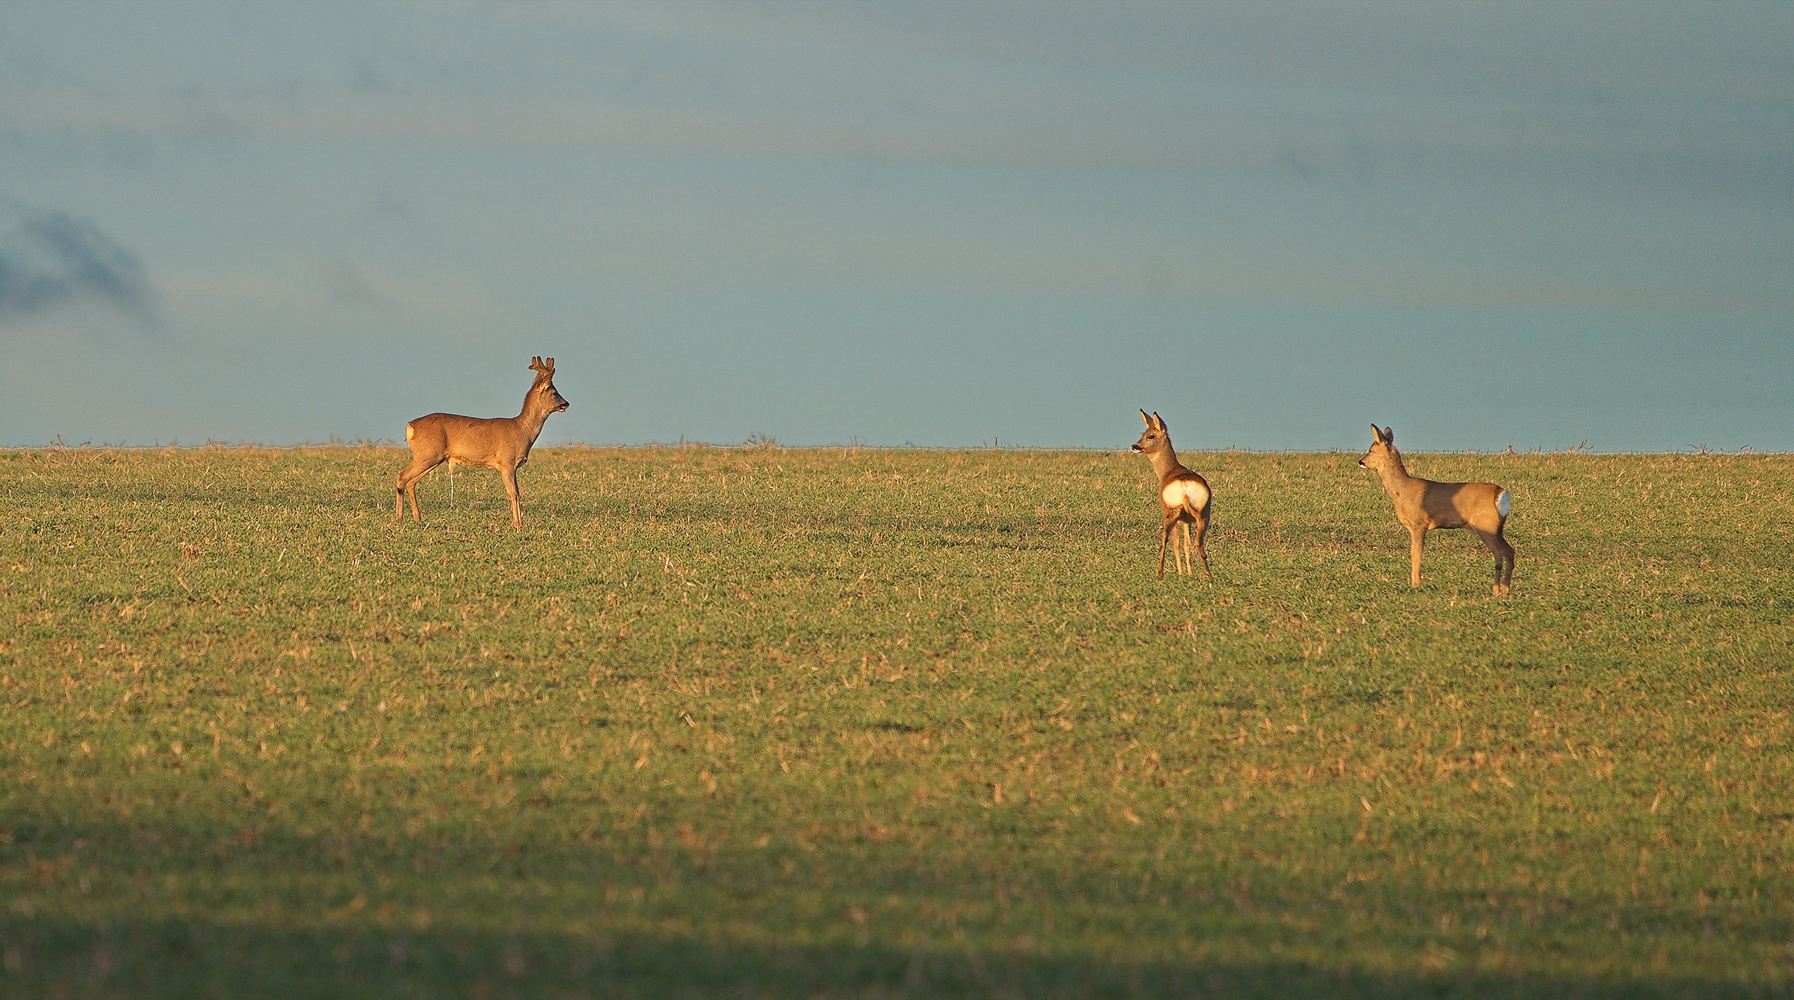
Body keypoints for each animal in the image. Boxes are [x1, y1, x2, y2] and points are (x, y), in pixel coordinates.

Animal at [398, 359, 566, 531]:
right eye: (554, 392)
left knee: (411, 482)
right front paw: (518, 525)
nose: (566, 403)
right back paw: (399, 517)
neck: (522, 430)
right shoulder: (507, 462)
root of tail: (410, 427)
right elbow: (514, 493)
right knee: (402, 476)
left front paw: (519, 523)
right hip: (428, 454)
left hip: (433, 457)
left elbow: (517, 492)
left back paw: (417, 517)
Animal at [1126, 409, 1212, 581]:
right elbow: (1186, 544)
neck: (1169, 470)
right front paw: (1189, 573)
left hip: (1171, 512)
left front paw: (1181, 573)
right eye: (1143, 433)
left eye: (1151, 436)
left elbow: (1176, 544)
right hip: (1203, 514)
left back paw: (1160, 573)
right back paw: (1209, 576)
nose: (1135, 446)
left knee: (1165, 540)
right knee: (1198, 543)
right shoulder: (1186, 520)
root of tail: (1185, 486)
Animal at [1356, 421, 1514, 592]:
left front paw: (1415, 584)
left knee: (1499, 554)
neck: (1403, 491)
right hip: (1497, 528)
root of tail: (1501, 493)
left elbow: (1416, 554)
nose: (1361, 461)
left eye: (1370, 450)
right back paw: (1505, 590)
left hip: (1485, 525)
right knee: (1510, 552)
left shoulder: (1419, 523)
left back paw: (1496, 591)